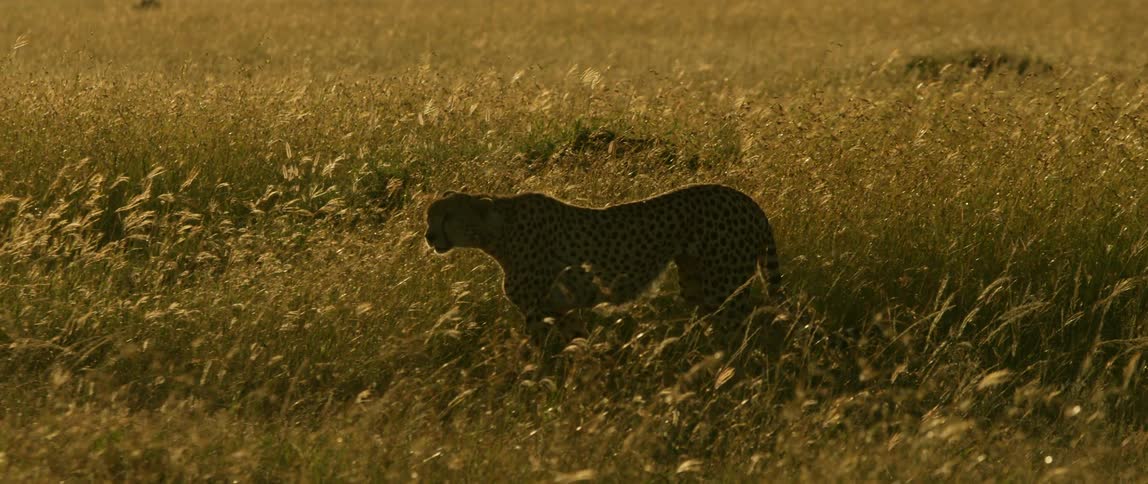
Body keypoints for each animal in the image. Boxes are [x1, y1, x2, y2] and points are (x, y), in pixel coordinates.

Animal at [424, 184, 784, 350]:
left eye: (447, 216)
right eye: (429, 216)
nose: (428, 236)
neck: (498, 232)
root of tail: (747, 200)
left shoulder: (540, 312)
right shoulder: (563, 309)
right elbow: (579, 346)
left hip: (725, 287)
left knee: (745, 328)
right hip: (699, 283)